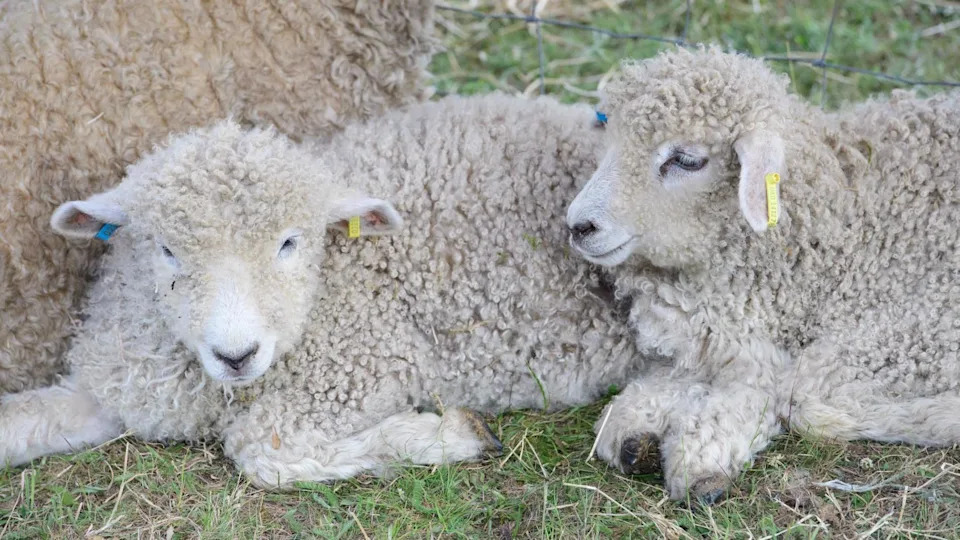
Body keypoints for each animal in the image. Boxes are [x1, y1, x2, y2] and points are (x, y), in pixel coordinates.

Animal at [1, 95, 642, 487]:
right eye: (166, 250)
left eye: (290, 242)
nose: (236, 354)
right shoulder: (117, 386)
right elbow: (21, 421)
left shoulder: (364, 365)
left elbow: (263, 451)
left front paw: (449, 434)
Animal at [565, 46, 960, 502]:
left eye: (685, 160)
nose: (577, 226)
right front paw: (640, 422)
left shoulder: (919, 329)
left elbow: (794, 393)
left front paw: (702, 447)